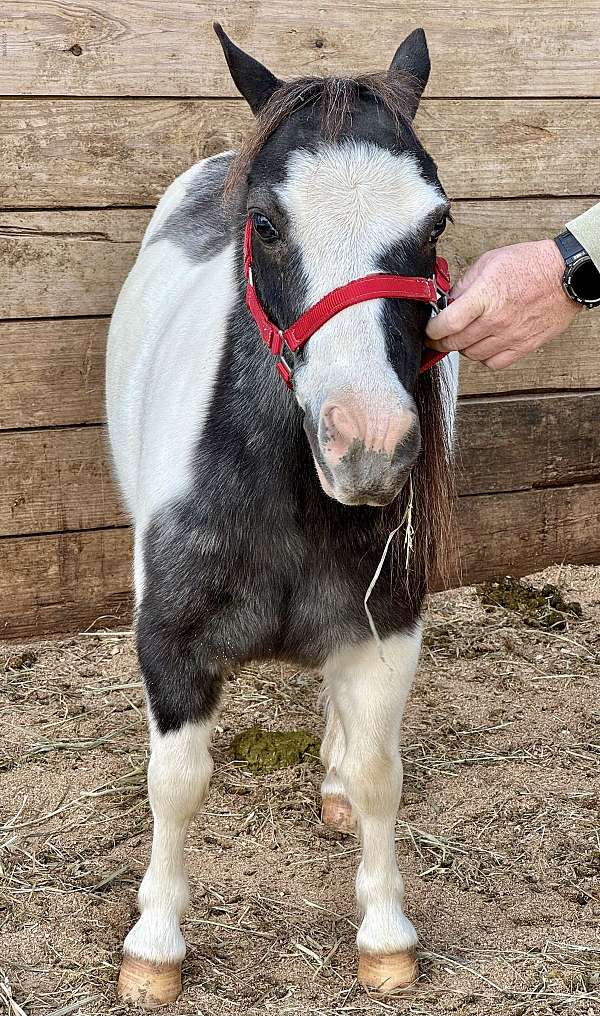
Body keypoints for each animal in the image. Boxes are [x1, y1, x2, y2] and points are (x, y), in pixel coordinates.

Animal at [105, 23, 456, 1007]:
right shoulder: (170, 645)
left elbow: (377, 772)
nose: (368, 444)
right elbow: (176, 782)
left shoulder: (386, 627)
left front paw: (385, 936)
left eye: (435, 223)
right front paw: (154, 946)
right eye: (264, 225)